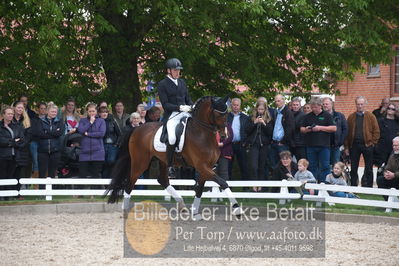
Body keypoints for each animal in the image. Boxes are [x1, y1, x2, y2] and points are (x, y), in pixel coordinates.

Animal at [106, 95, 244, 218]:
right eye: (218, 114)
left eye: (227, 113)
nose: (224, 136)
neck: (202, 134)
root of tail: (136, 129)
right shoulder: (202, 166)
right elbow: (223, 182)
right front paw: (237, 209)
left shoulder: (206, 168)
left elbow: (200, 189)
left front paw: (195, 212)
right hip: (140, 162)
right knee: (130, 183)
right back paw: (125, 211)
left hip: (162, 161)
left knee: (162, 180)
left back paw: (182, 206)